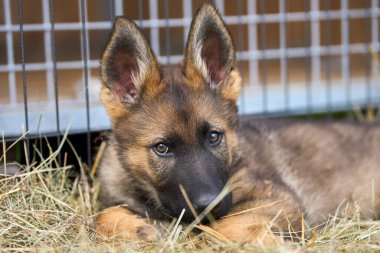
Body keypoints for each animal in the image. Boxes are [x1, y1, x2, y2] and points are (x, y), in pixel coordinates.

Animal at [95, 1, 380, 243]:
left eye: (214, 137)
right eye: (162, 148)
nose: (210, 204)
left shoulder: (279, 200)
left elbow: (221, 229)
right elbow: (102, 216)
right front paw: (138, 229)